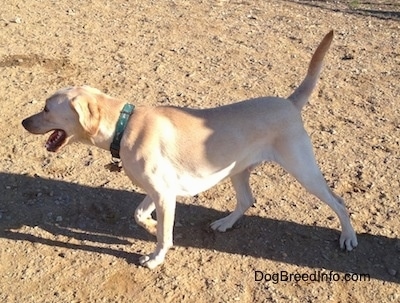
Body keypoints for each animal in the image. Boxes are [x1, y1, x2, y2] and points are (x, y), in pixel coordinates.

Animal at [21, 30, 358, 268]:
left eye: (47, 109)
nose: (23, 122)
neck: (124, 126)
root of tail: (289, 103)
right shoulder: (159, 191)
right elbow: (140, 215)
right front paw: (151, 227)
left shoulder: (164, 194)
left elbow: (163, 236)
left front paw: (155, 257)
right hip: (238, 171)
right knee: (247, 200)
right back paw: (224, 223)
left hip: (304, 171)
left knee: (339, 203)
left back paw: (348, 237)